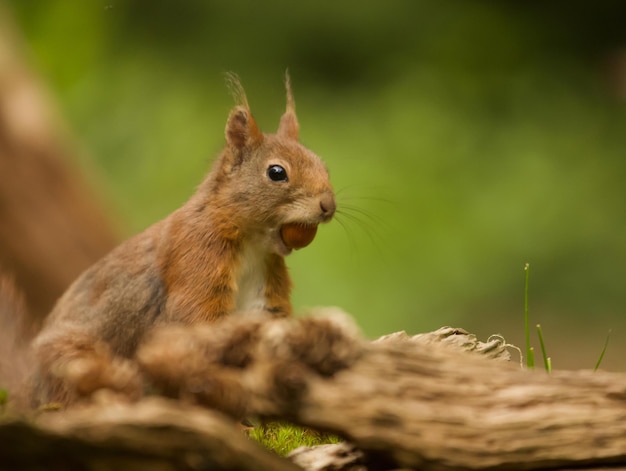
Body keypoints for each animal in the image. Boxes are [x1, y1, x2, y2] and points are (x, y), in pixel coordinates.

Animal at [28, 74, 336, 406]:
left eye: (323, 165)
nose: (328, 206)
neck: (251, 245)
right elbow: (197, 322)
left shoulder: (265, 288)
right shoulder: (194, 262)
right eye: (277, 172)